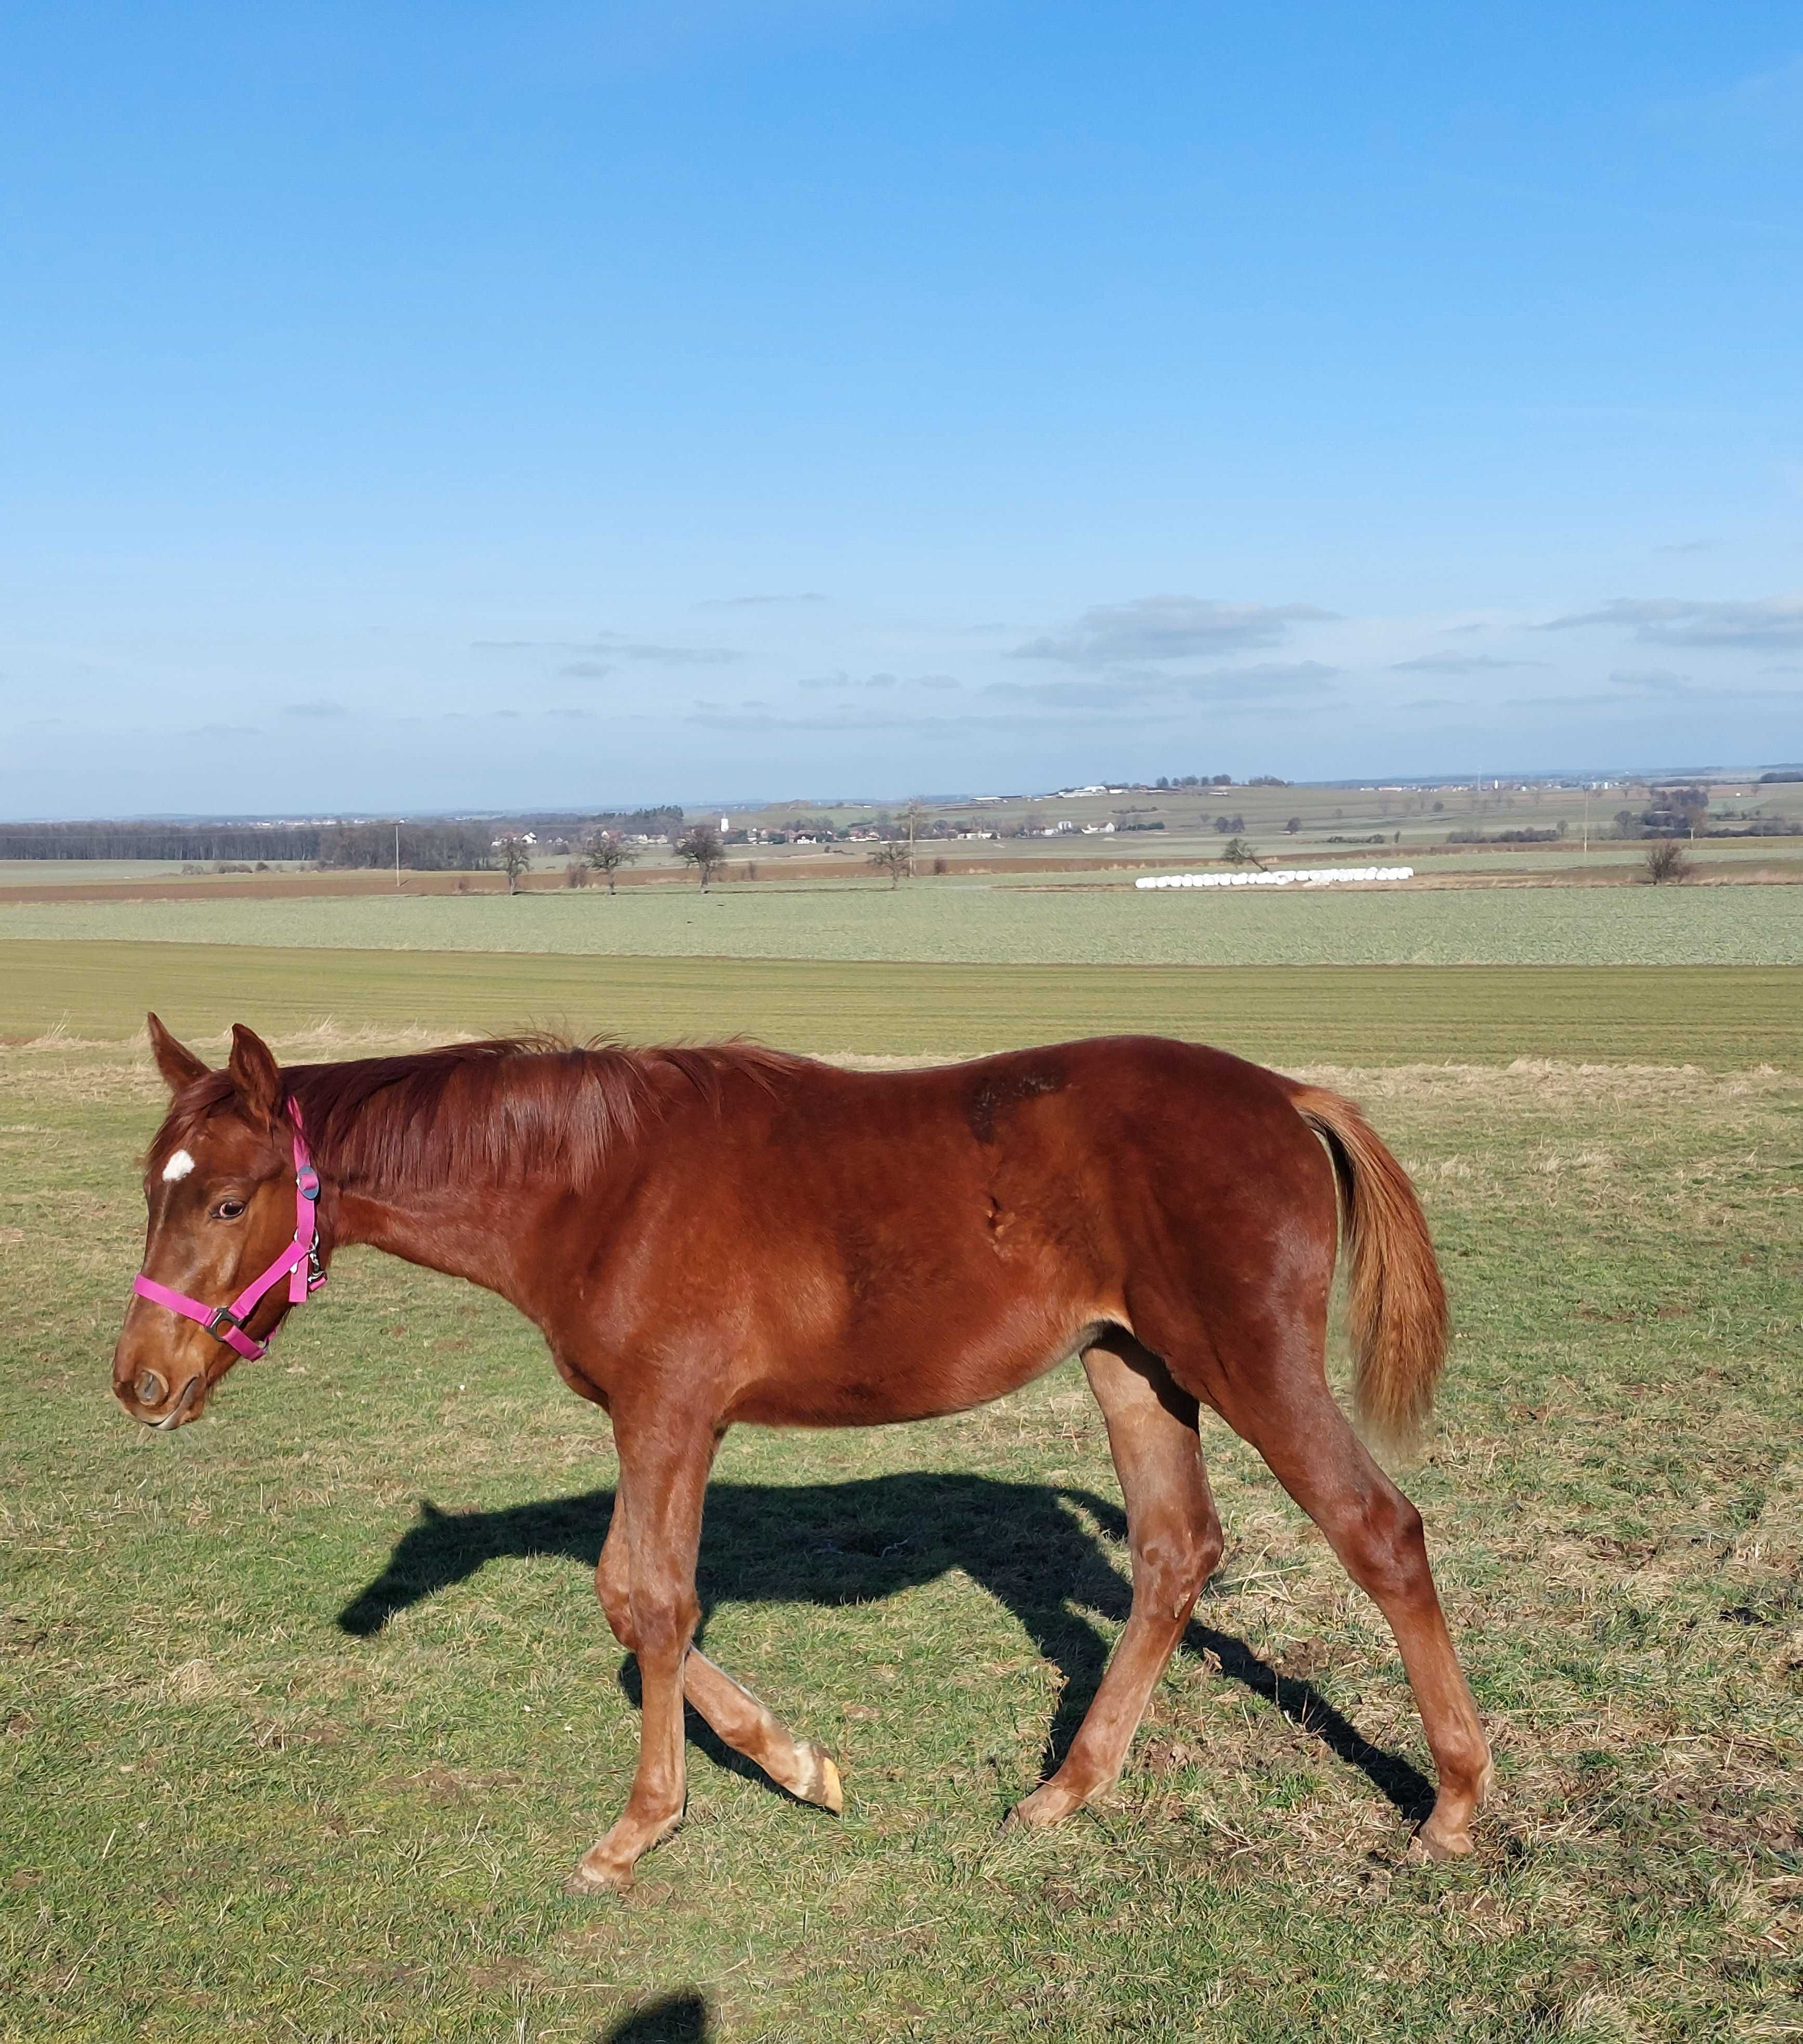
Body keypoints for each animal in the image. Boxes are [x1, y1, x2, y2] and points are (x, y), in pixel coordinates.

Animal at [116, 1013, 1488, 1889]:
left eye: (228, 1201)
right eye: (150, 1189)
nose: (141, 1383)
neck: (593, 1185)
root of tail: (1287, 1095)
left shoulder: (667, 1413)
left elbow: (650, 1601)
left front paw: (643, 1827)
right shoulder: (663, 1421)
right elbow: (633, 1601)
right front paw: (801, 1764)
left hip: (1244, 1360)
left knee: (1378, 1530)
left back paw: (1454, 1805)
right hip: (1131, 1364)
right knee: (1173, 1551)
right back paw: (1065, 1789)